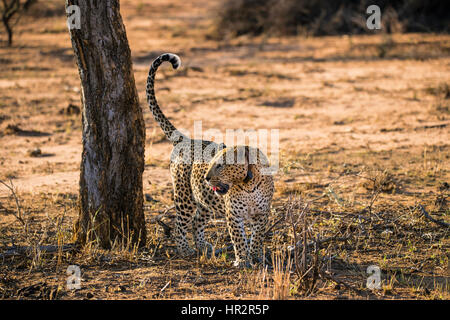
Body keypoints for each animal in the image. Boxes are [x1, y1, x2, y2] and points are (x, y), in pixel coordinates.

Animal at [147, 53, 274, 268]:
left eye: (220, 165)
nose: (206, 178)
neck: (249, 184)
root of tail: (186, 139)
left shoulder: (261, 215)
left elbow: (256, 237)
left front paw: (256, 256)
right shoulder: (234, 215)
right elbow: (239, 239)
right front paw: (243, 261)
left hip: (204, 200)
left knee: (197, 221)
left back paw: (202, 246)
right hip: (184, 196)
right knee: (179, 225)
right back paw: (185, 249)